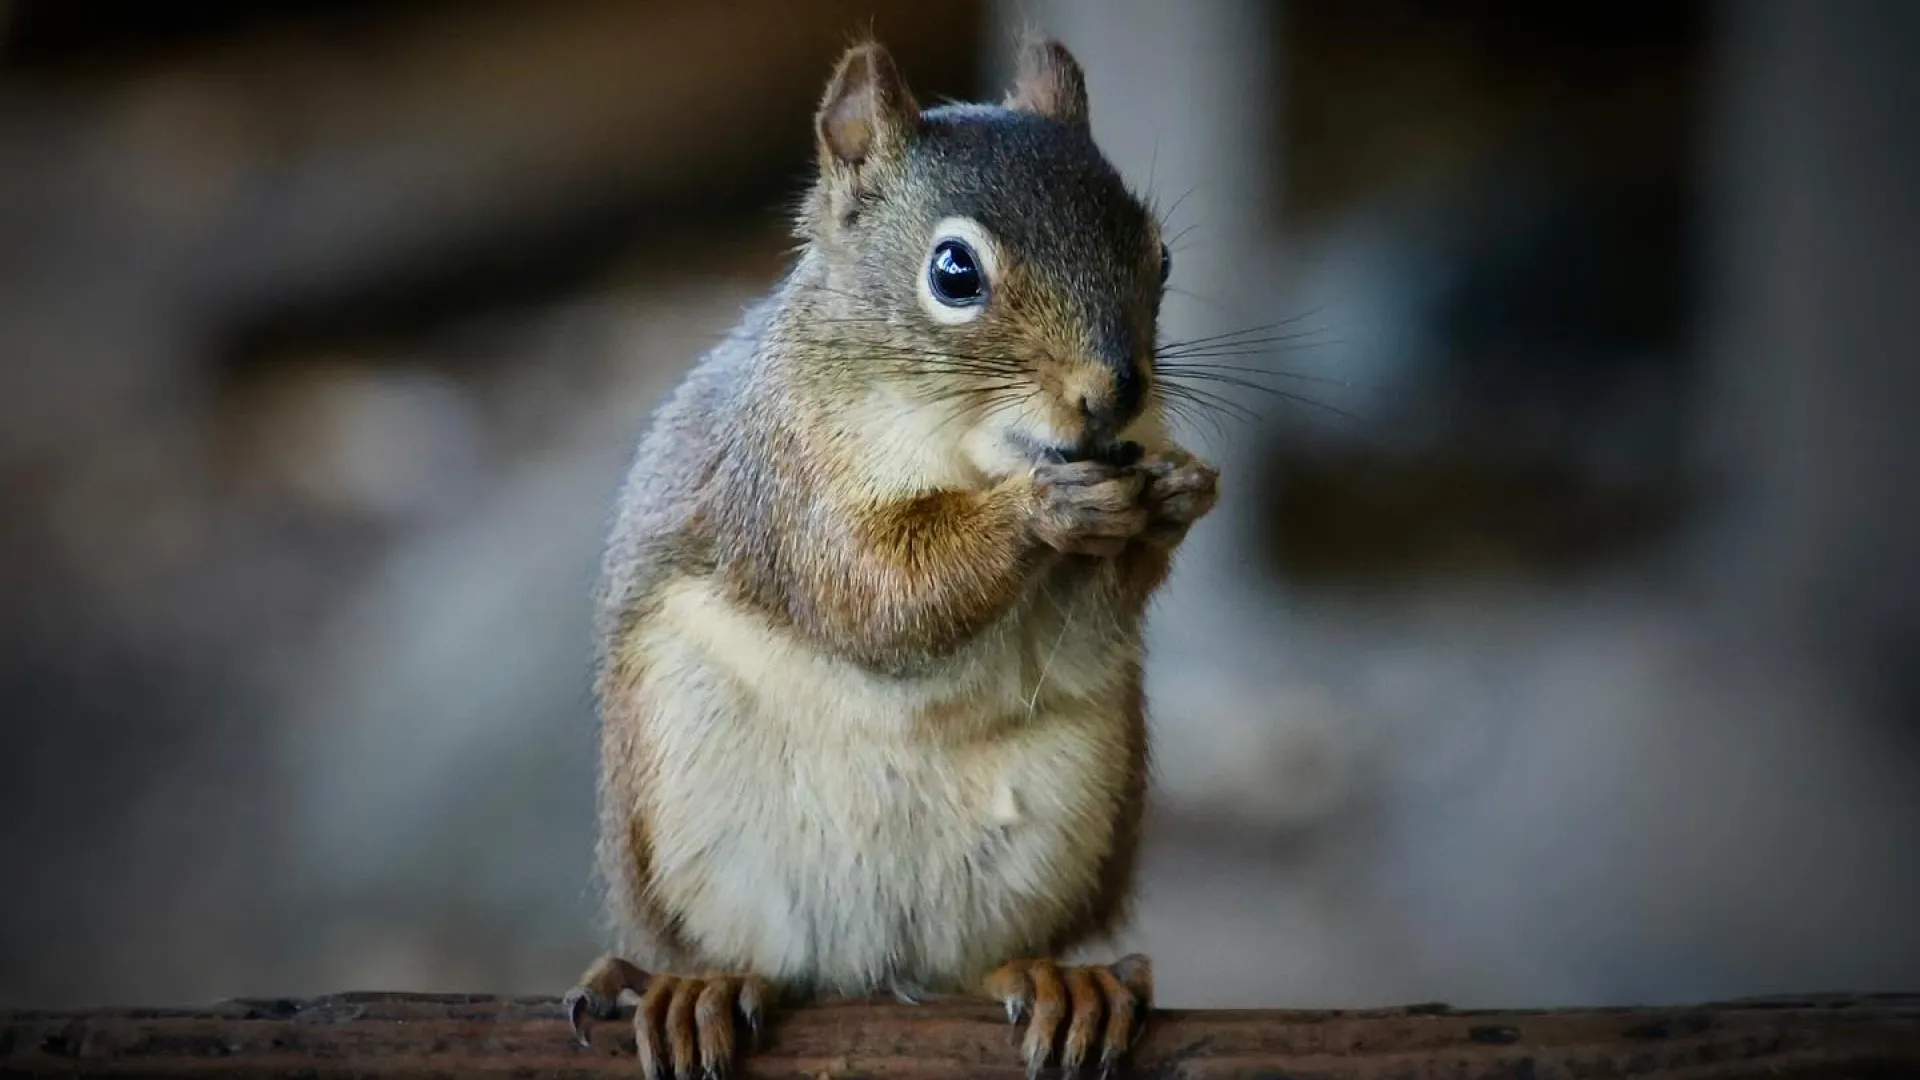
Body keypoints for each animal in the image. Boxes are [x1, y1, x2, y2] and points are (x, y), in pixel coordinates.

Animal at [563, 34, 1219, 1079]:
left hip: (1070, 806)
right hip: (682, 799)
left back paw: (1056, 980)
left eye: (1160, 255)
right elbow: (879, 591)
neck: (968, 449)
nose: (1114, 394)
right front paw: (1037, 510)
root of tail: (871, 970)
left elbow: (1099, 600)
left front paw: (1177, 496)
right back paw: (698, 987)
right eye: (954, 272)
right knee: (738, 953)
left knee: (985, 964)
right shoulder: (784, 482)